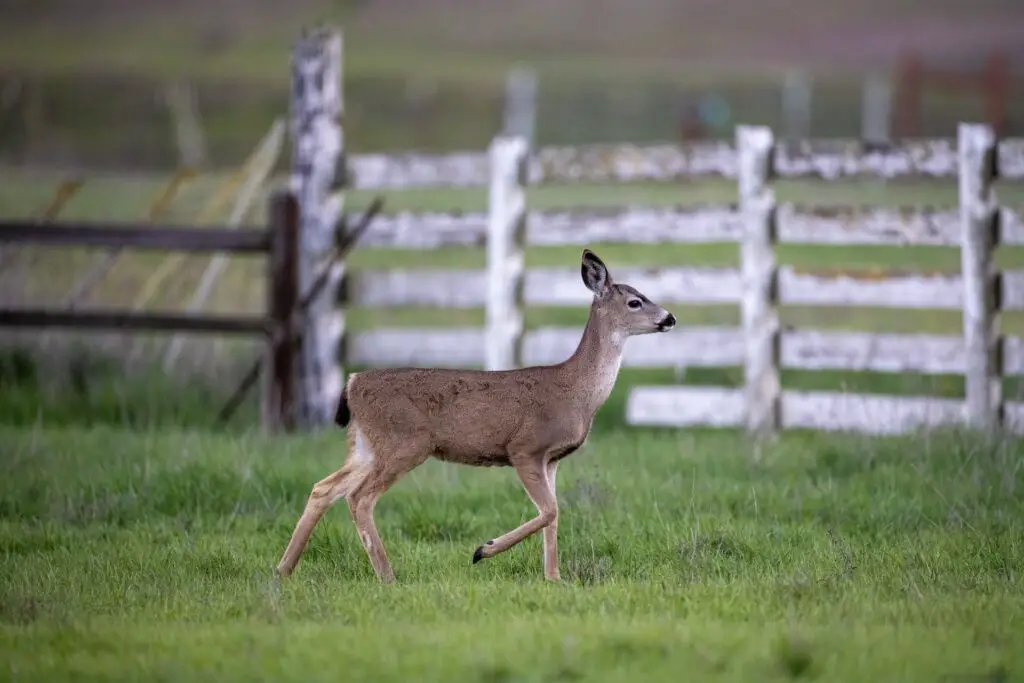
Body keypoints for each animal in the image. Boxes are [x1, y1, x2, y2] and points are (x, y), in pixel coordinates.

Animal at [276, 248, 675, 585]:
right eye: (635, 301)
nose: (670, 318)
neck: (575, 390)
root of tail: (352, 382)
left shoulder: (553, 459)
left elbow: (555, 514)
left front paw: (554, 578)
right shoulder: (525, 447)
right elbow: (549, 511)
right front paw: (484, 550)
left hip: (366, 444)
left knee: (324, 488)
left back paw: (283, 569)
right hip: (404, 442)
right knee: (359, 497)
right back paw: (387, 576)